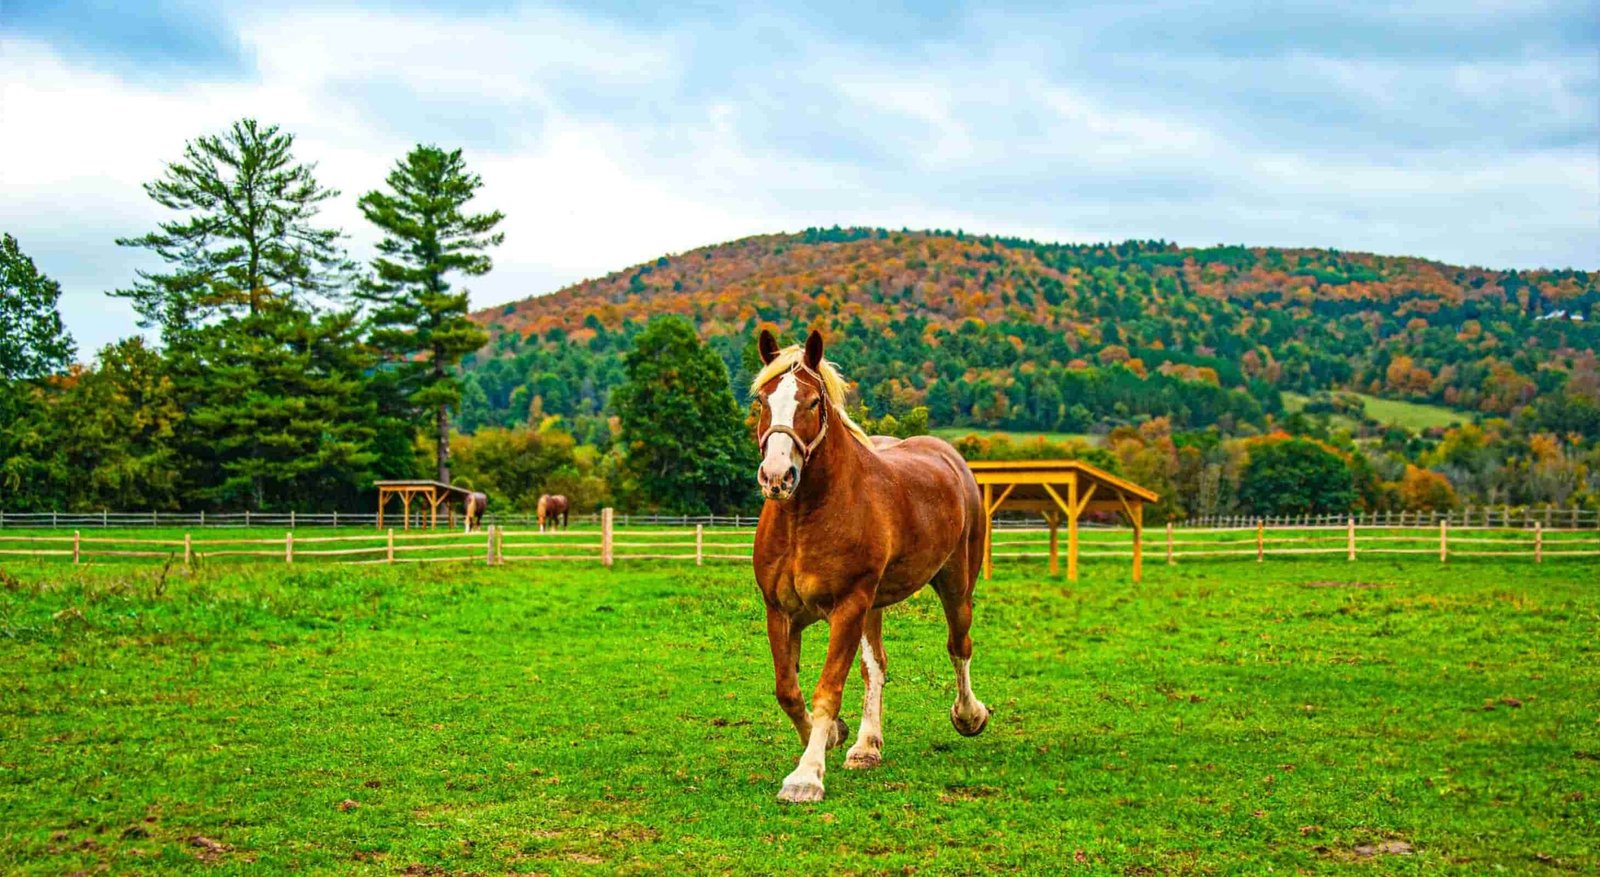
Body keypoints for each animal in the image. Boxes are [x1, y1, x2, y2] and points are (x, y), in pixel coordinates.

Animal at [750, 329, 990, 804]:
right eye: (763, 400)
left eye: (812, 402)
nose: (777, 477)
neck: (804, 519)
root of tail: (950, 459)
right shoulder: (781, 612)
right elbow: (789, 690)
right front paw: (834, 736)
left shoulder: (847, 607)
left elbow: (827, 689)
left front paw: (806, 776)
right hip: (875, 607)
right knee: (876, 665)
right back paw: (867, 746)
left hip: (956, 587)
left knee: (959, 646)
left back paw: (969, 715)